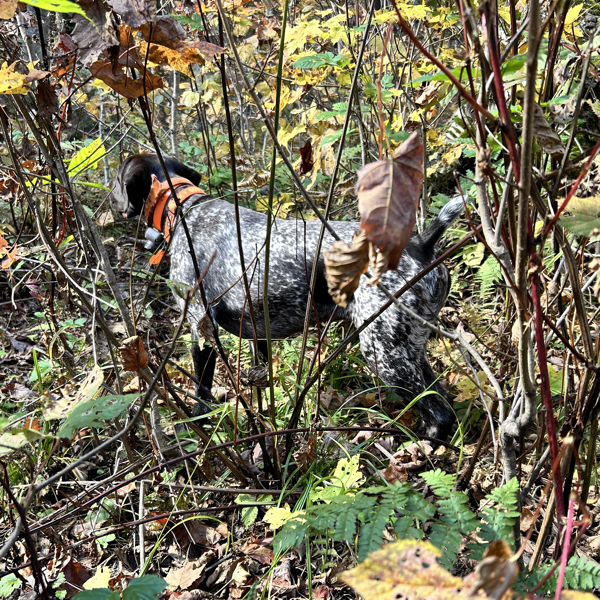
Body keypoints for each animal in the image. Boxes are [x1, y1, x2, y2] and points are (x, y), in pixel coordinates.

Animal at [110, 152, 462, 438]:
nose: (113, 203)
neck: (185, 209)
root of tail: (421, 244)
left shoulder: (200, 324)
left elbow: (202, 390)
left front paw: (198, 426)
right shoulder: (258, 330)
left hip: (385, 352)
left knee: (441, 415)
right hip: (410, 347)